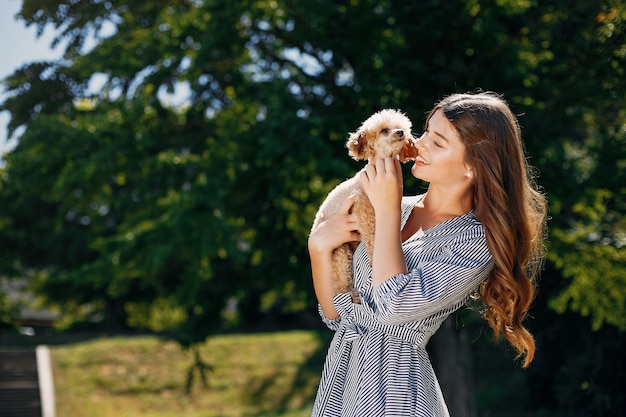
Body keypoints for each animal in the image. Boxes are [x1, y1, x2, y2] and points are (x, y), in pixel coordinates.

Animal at [310, 109, 416, 298]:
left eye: (403, 127)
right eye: (384, 130)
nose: (400, 133)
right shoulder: (366, 217)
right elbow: (374, 245)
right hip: (340, 254)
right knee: (340, 287)